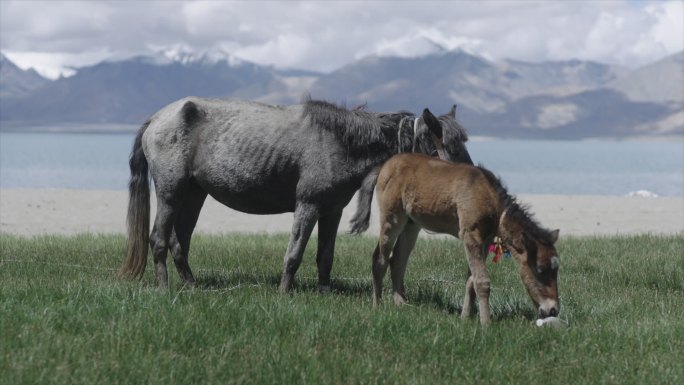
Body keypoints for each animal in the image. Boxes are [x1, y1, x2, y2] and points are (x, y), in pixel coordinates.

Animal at [119, 97, 470, 292]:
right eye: (446, 146)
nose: (471, 175)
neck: (340, 141)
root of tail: (156, 119)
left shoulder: (332, 211)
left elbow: (325, 256)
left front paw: (324, 291)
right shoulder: (308, 206)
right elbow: (294, 254)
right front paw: (284, 293)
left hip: (194, 194)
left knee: (180, 242)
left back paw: (191, 286)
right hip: (171, 192)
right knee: (159, 240)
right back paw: (165, 288)